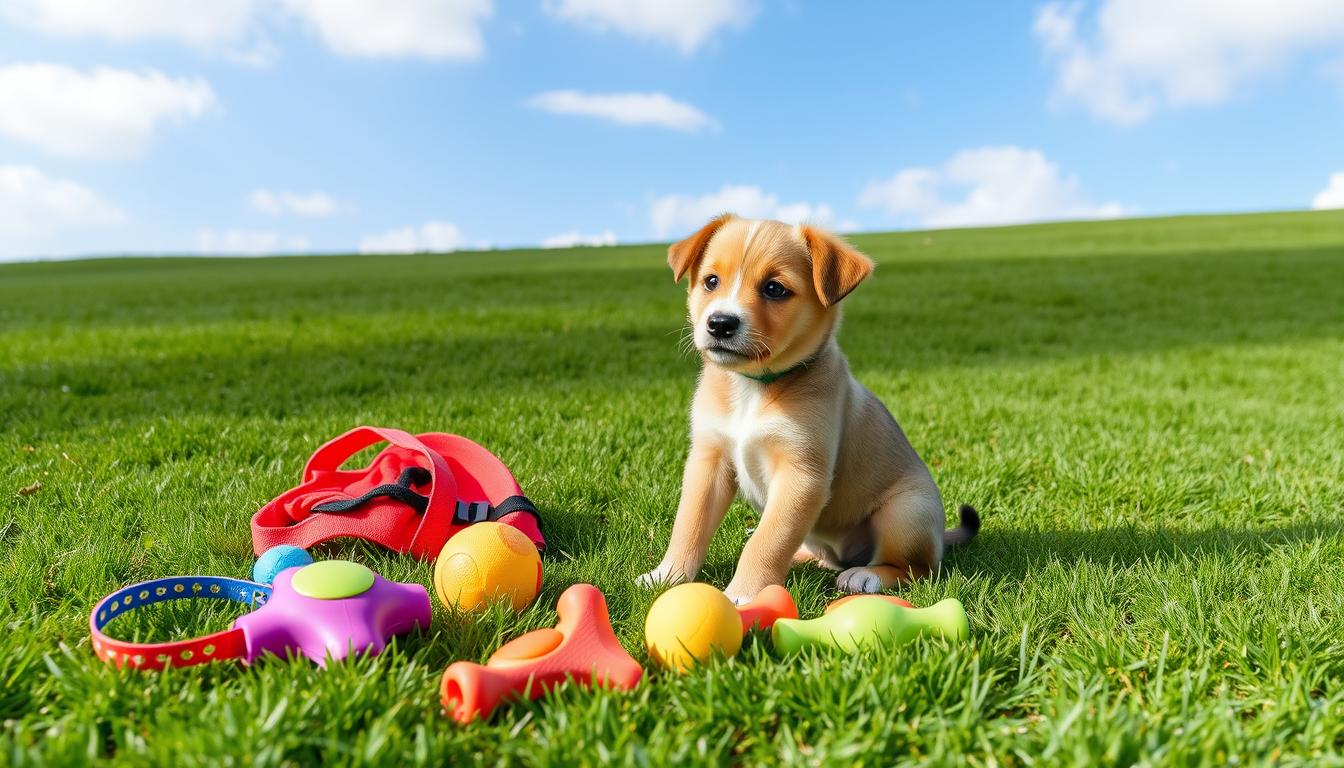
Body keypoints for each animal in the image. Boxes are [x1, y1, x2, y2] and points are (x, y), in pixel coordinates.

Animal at [637, 213, 978, 605]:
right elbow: (689, 525)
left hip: (906, 513)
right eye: (711, 281)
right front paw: (667, 575)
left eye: (774, 289)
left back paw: (866, 576)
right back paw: (805, 556)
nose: (720, 323)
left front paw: (745, 594)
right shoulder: (709, 461)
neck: (753, 388)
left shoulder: (801, 475)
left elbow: (766, 541)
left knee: (918, 568)